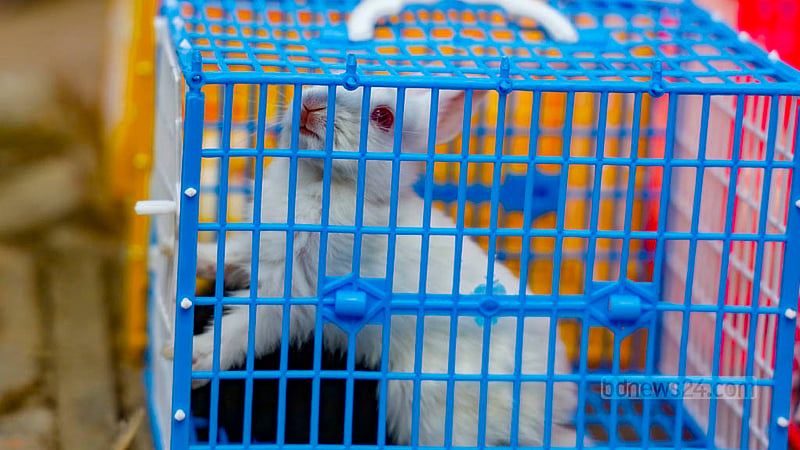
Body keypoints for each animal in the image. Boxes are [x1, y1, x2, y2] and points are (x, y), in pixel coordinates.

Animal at [164, 85, 584, 447]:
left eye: (383, 116)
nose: (310, 104)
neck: (325, 181)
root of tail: (553, 401)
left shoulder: (295, 292)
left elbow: (243, 330)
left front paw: (189, 356)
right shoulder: (259, 255)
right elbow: (228, 258)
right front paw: (185, 253)